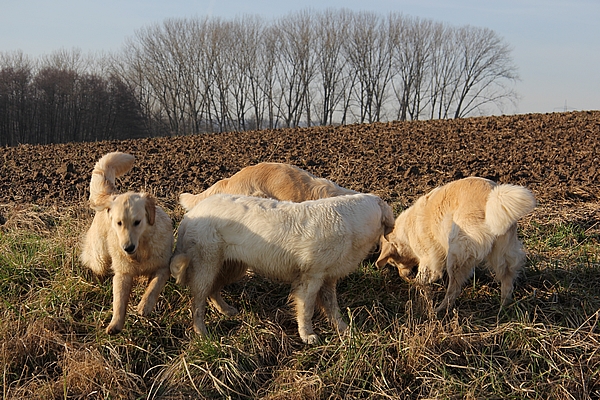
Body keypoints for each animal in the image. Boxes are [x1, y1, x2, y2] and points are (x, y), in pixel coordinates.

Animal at [80, 152, 174, 334]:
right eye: (118, 223)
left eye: (137, 222)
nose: (127, 247)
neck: (141, 249)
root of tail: (112, 195)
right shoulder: (123, 274)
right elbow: (119, 301)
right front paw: (115, 324)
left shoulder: (163, 267)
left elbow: (154, 286)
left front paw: (145, 305)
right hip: (100, 258)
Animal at [170, 193, 395, 344]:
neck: (349, 221)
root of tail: (193, 212)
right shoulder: (311, 278)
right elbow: (306, 309)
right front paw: (308, 335)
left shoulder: (328, 279)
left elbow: (332, 306)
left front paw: (344, 329)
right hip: (206, 265)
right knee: (198, 302)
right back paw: (202, 332)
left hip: (231, 266)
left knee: (213, 291)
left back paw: (227, 310)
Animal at [376, 177, 536, 314]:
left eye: (392, 262)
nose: (401, 275)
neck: (406, 232)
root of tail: (491, 199)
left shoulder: (429, 260)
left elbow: (424, 278)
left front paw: (416, 285)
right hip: (502, 254)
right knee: (507, 281)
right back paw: (503, 308)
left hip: (455, 254)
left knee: (454, 289)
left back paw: (440, 309)